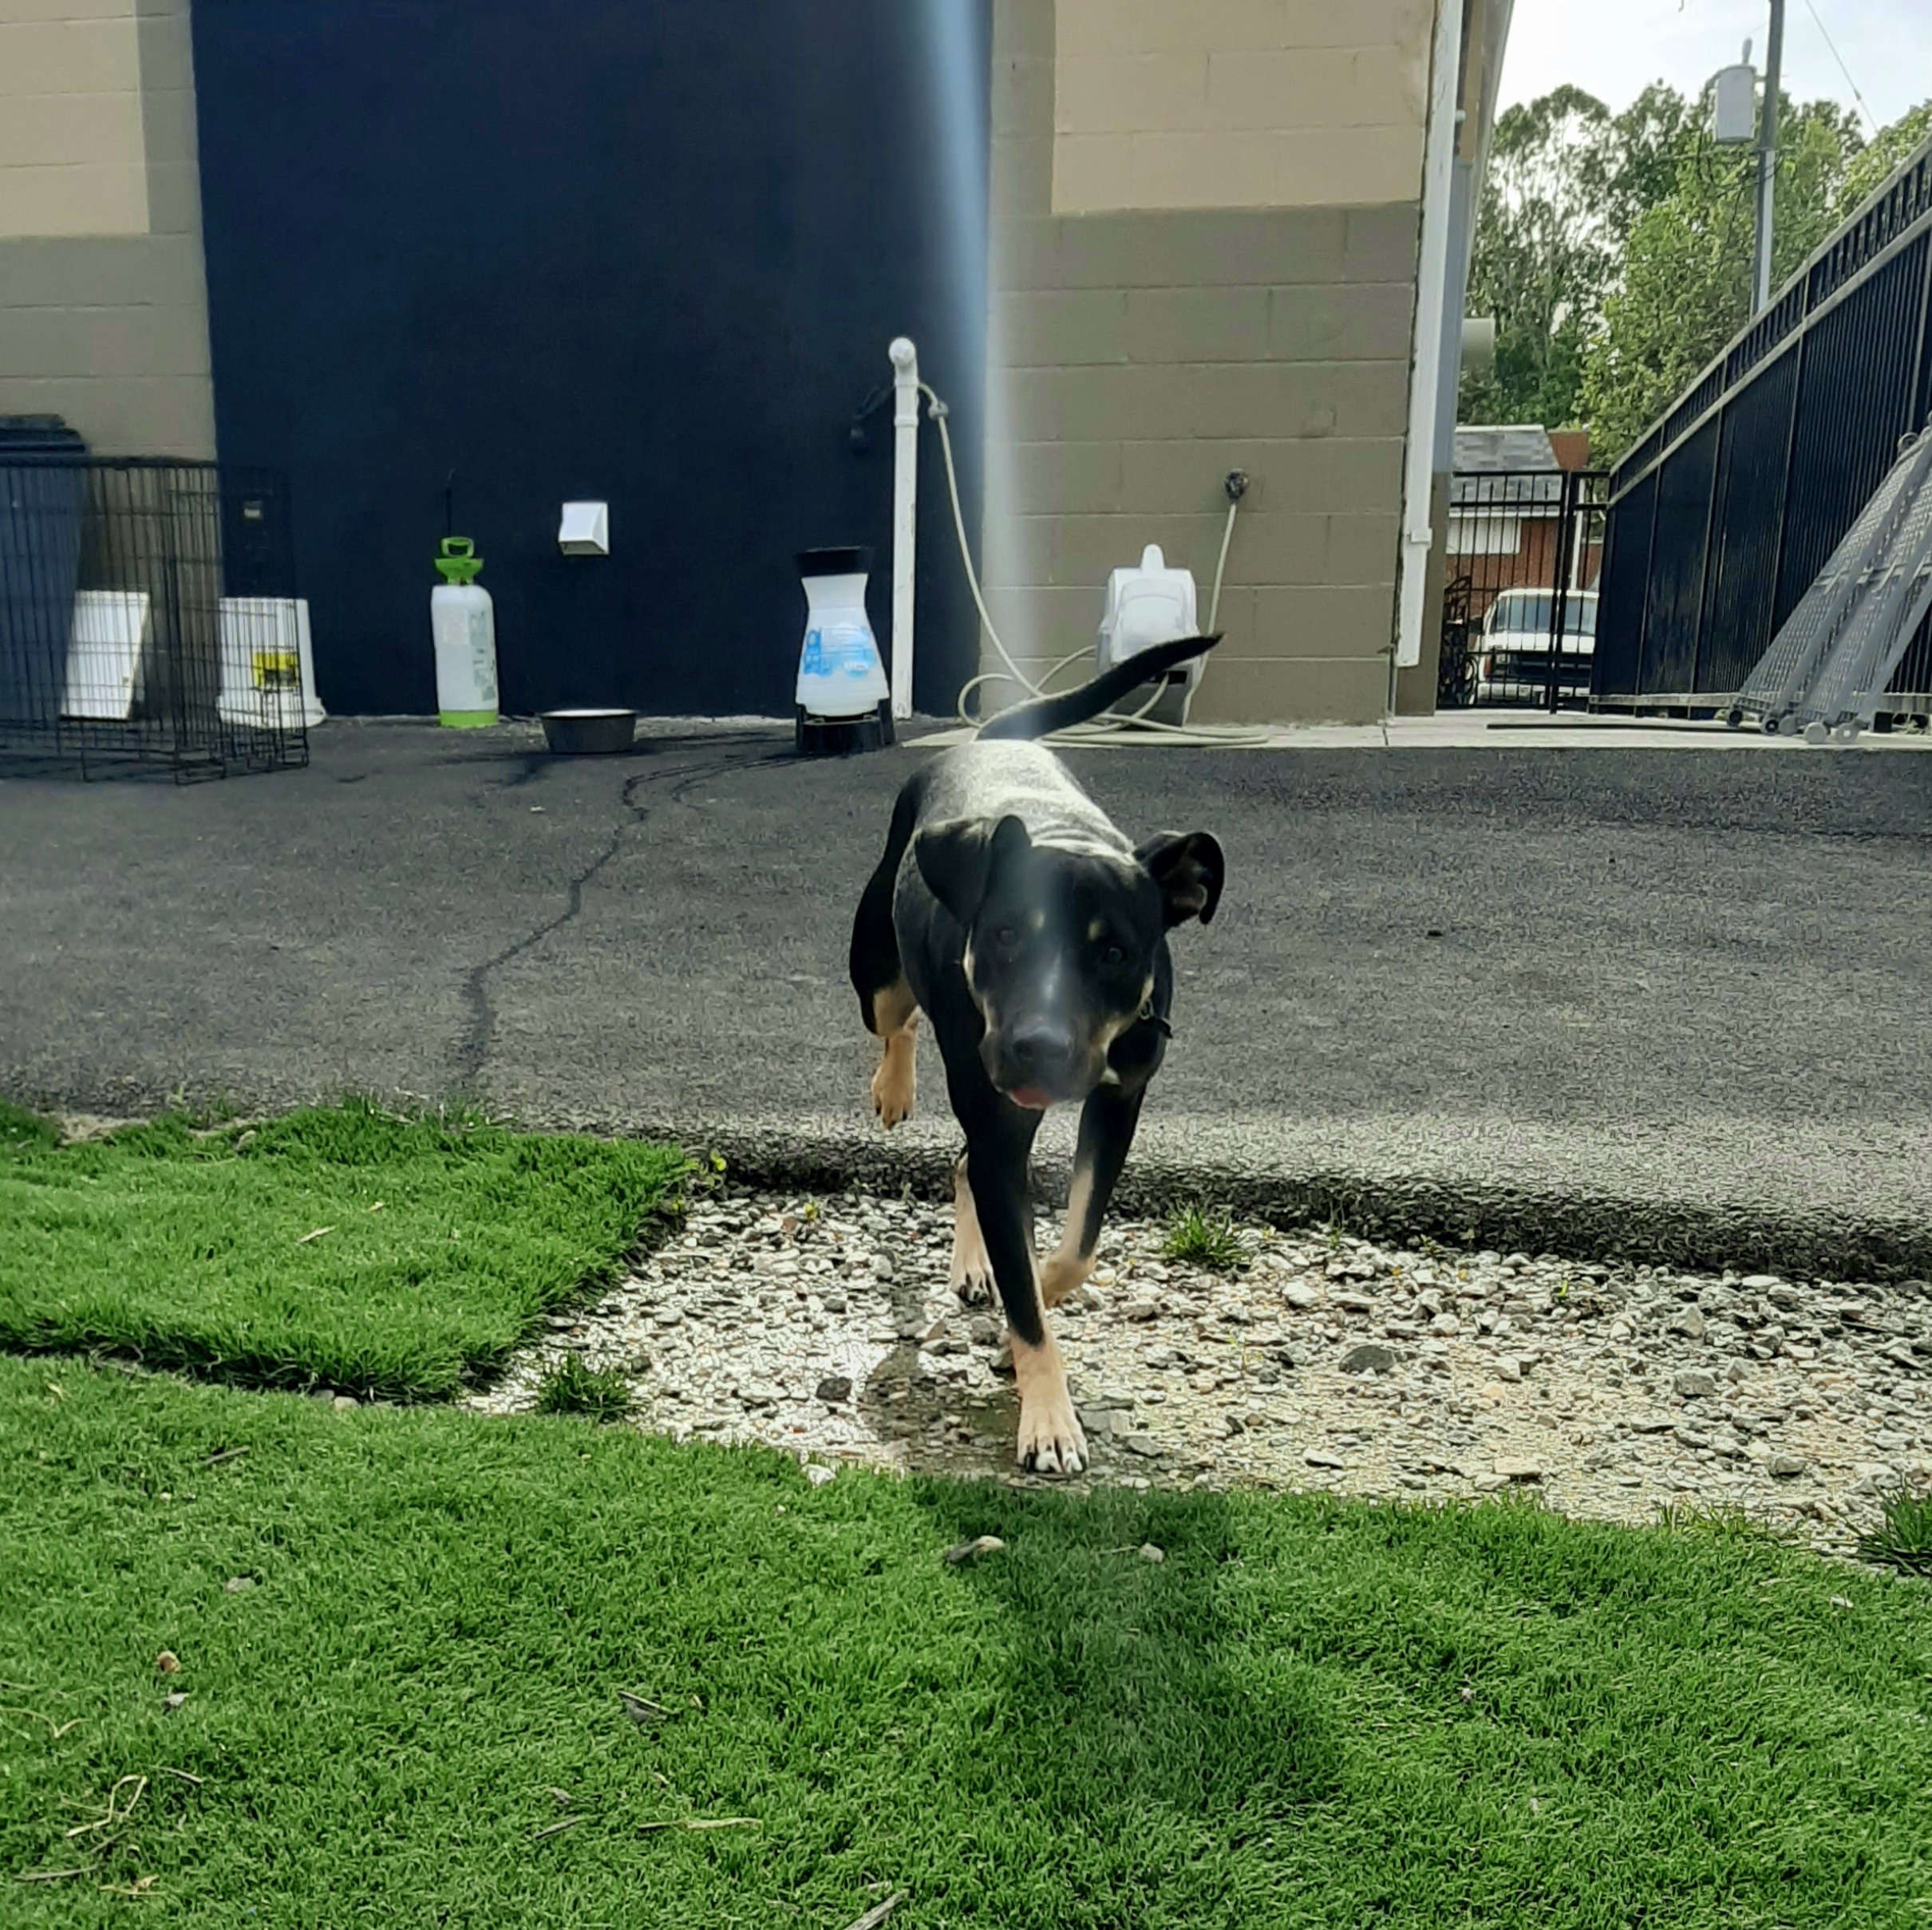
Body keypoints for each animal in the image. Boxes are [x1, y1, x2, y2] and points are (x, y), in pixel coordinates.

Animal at [846, 641, 1221, 1468]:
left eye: (1114, 952)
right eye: (1006, 935)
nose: (1037, 1046)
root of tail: (988, 740)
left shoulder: (1119, 1098)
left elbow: (1071, 1250)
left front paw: (1016, 1340)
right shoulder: (997, 1116)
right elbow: (1025, 1282)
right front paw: (1048, 1418)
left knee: (962, 1164)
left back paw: (975, 1263)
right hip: (878, 968)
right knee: (896, 1017)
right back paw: (893, 1087)